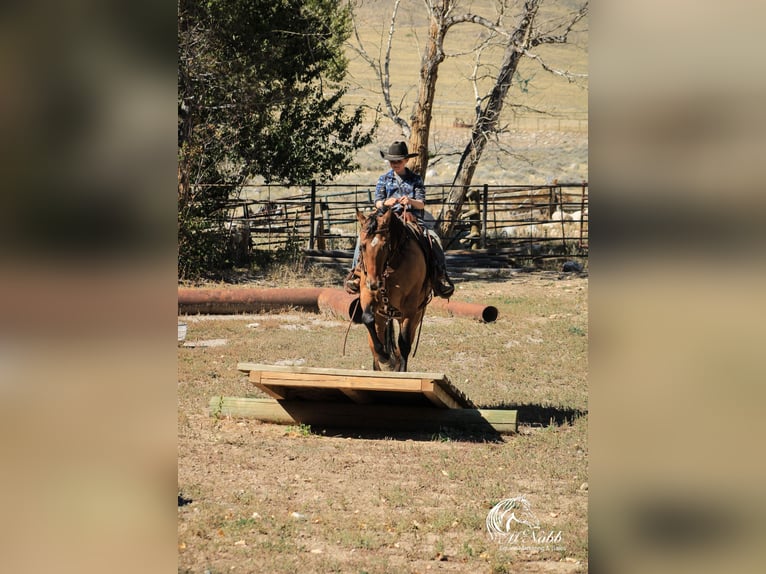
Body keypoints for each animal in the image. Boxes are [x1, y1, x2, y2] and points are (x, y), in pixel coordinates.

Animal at [356, 207, 436, 374]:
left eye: (385, 246)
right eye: (362, 246)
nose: (374, 283)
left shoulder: (409, 308)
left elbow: (404, 343)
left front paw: (397, 366)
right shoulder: (367, 294)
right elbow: (367, 319)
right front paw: (384, 356)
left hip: (415, 315)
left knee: (405, 344)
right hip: (381, 317)